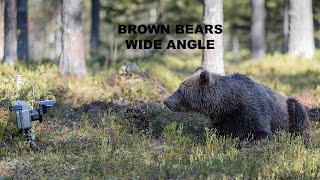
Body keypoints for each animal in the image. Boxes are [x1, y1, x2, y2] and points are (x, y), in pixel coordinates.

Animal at [164, 68, 308, 140]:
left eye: (180, 89)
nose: (166, 101)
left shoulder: (253, 110)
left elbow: (259, 131)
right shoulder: (222, 118)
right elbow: (216, 131)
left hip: (288, 108)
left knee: (297, 112)